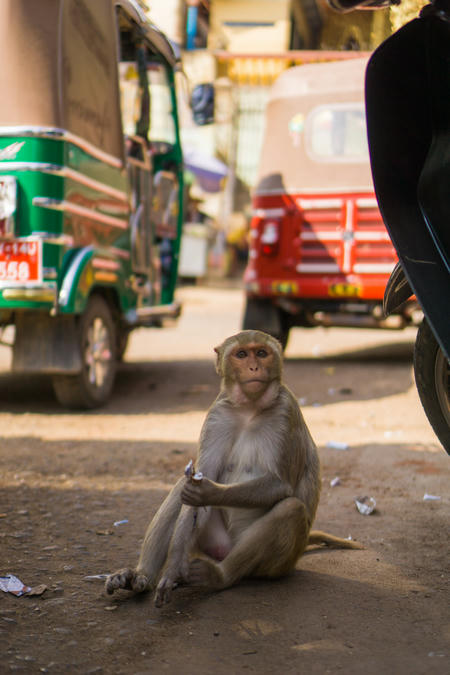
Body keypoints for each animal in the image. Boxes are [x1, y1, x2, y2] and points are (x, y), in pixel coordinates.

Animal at [106, 328, 362, 608]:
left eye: (261, 352)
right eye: (241, 354)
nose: (254, 367)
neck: (249, 408)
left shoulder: (286, 413)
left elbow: (279, 484)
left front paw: (208, 492)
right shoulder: (218, 415)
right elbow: (195, 484)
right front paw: (171, 570)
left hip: (278, 565)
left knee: (291, 509)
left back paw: (220, 576)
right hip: (212, 542)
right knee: (179, 492)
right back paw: (141, 577)